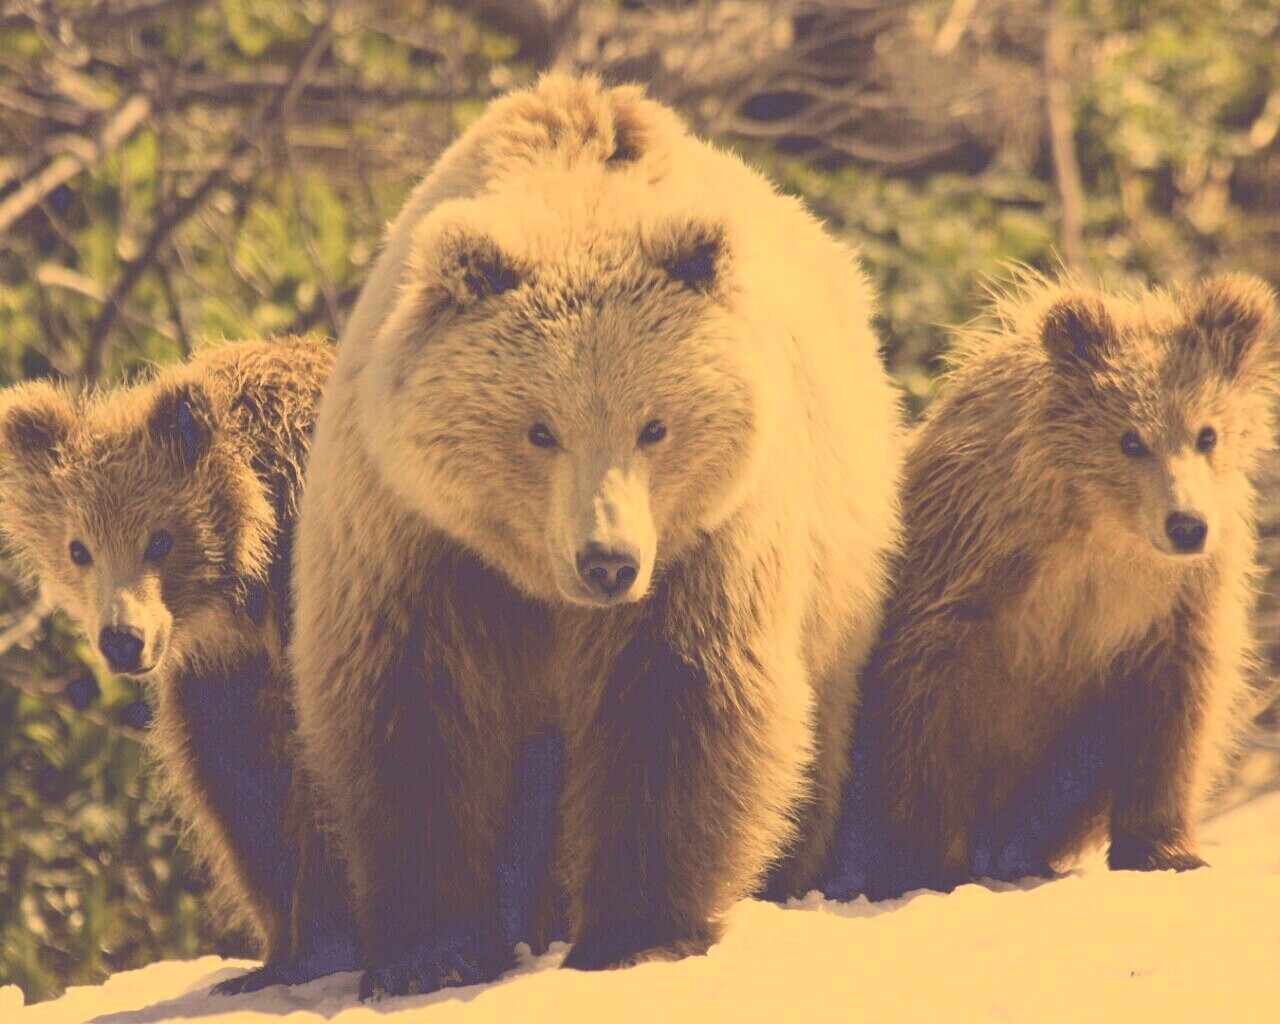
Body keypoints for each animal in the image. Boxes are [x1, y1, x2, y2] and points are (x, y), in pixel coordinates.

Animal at [0, 340, 358, 998]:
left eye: (159, 540)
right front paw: (274, 958)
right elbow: (240, 790)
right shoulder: (221, 681)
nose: (122, 640)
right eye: (79, 548)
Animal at [294, 73, 906, 998]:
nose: (608, 561)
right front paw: (428, 952)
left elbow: (677, 706)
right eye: (539, 429)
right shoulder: (418, 540)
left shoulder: (705, 546)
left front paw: (633, 935)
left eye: (654, 425)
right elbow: (416, 719)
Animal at [834, 271, 1274, 896]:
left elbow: (1172, 712)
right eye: (1130, 439)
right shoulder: (968, 569)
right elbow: (922, 707)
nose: (1187, 524)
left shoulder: (1173, 604)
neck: (1100, 531)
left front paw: (1167, 851)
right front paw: (925, 863)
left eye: (1207, 433)